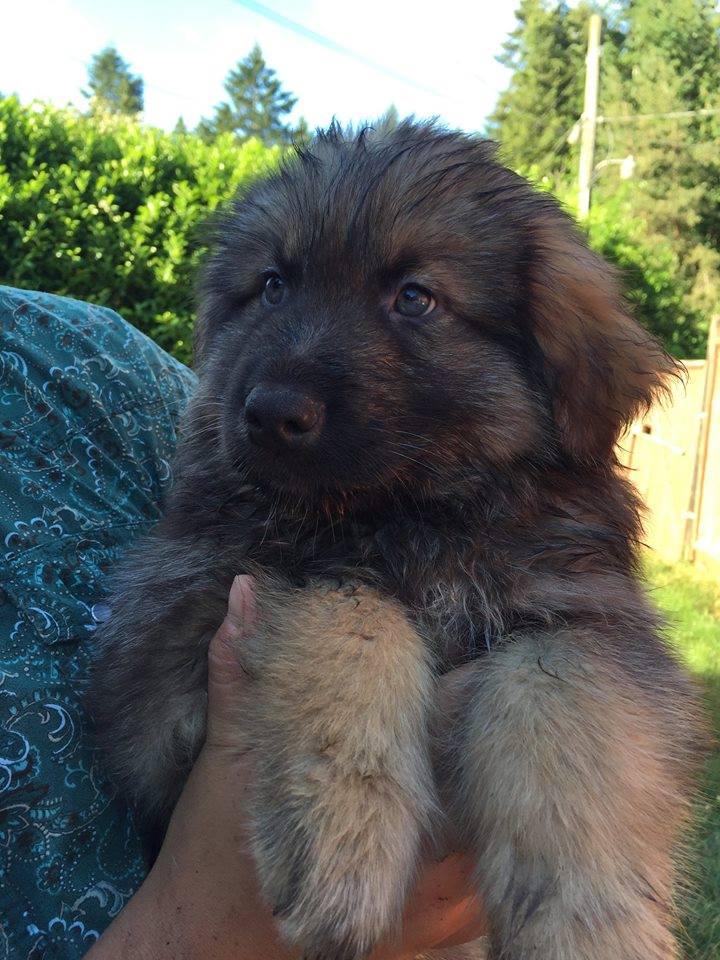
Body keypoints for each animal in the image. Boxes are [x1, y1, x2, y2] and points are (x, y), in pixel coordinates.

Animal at [90, 122, 704, 960]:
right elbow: (348, 619)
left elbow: (569, 706)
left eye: (415, 298)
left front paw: (587, 920)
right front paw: (342, 833)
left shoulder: (589, 615)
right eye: (273, 286)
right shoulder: (180, 647)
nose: (272, 411)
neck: (411, 516)